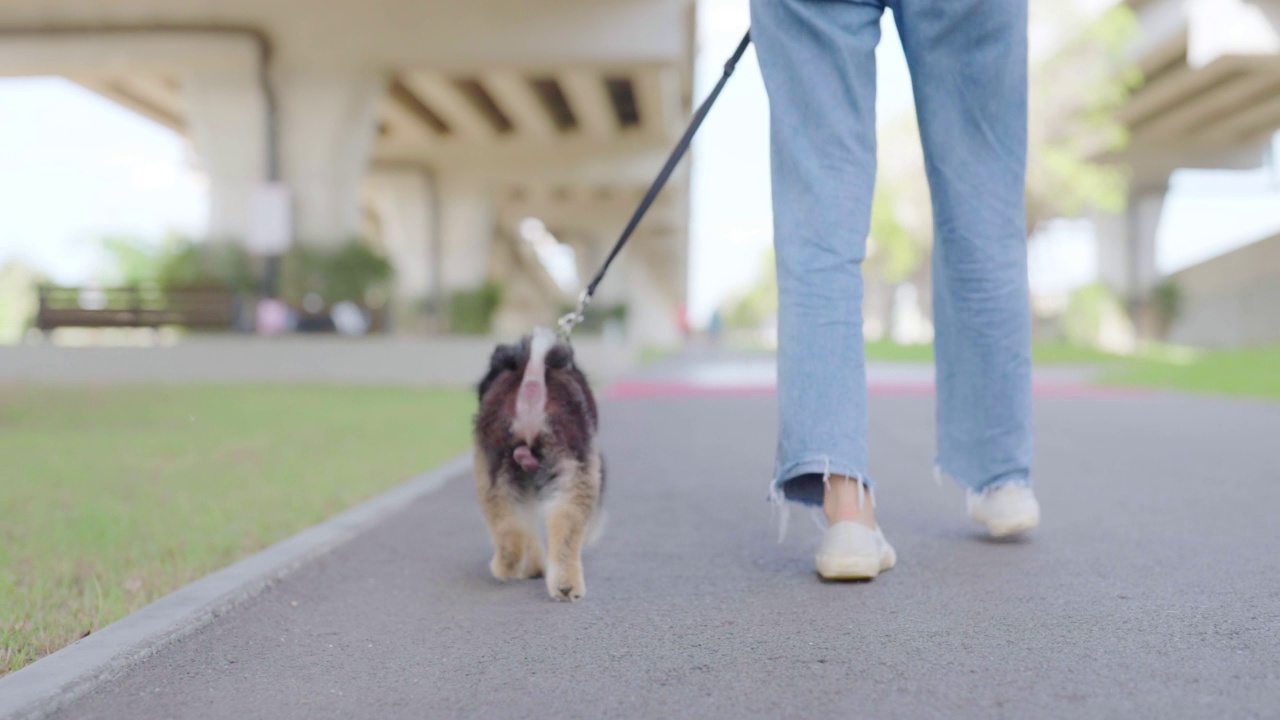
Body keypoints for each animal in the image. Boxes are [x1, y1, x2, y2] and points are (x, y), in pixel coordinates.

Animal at [473, 326, 606, 599]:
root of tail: (533, 377)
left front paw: (533, 567)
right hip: (570, 469)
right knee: (563, 525)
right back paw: (564, 586)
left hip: (496, 470)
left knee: (510, 529)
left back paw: (506, 567)